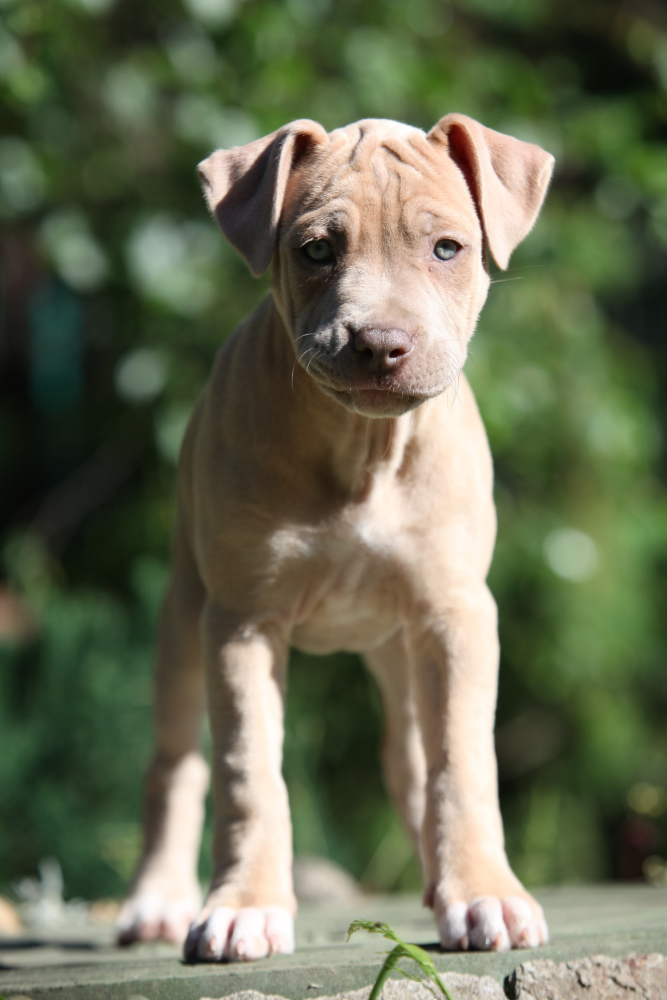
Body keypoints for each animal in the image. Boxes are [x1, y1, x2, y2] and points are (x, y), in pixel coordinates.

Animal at [117, 114, 554, 960]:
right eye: (316, 250)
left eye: (445, 249)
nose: (380, 343)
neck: (363, 452)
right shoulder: (242, 621)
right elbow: (249, 772)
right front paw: (244, 907)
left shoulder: (455, 617)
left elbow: (461, 763)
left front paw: (483, 893)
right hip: (183, 621)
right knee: (172, 764)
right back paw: (156, 902)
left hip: (402, 653)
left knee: (412, 765)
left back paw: (442, 886)